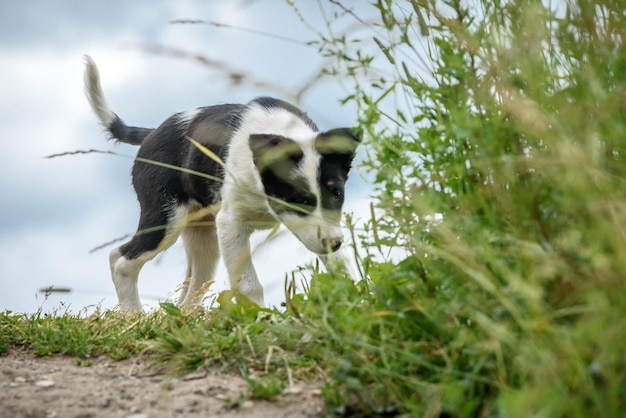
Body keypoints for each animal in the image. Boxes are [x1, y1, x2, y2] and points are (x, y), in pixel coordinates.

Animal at [83, 55, 358, 310]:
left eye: (336, 194)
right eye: (299, 199)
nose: (334, 242)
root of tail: (151, 133)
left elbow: (344, 268)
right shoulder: (230, 223)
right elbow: (249, 284)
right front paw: (261, 319)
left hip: (203, 236)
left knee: (191, 293)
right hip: (166, 216)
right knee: (120, 260)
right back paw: (133, 315)